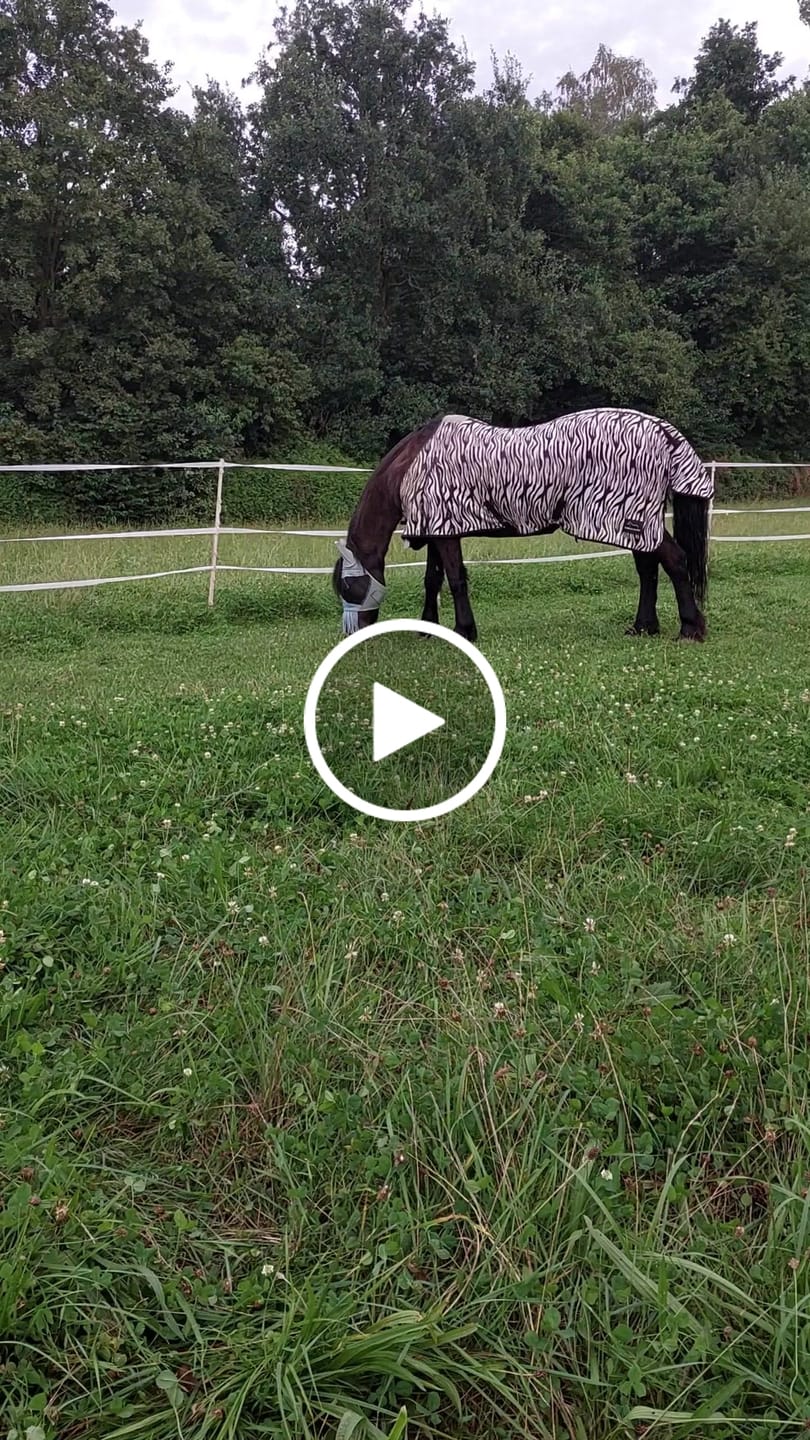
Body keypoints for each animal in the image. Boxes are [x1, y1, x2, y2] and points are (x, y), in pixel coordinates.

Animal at [332, 408, 714, 643]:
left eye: (348, 587)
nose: (351, 634)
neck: (412, 463)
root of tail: (664, 432)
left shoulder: (445, 529)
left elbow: (455, 580)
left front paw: (465, 631)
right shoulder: (439, 528)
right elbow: (432, 581)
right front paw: (427, 629)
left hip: (630, 520)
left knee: (674, 561)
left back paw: (690, 629)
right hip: (635, 522)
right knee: (648, 568)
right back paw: (643, 627)